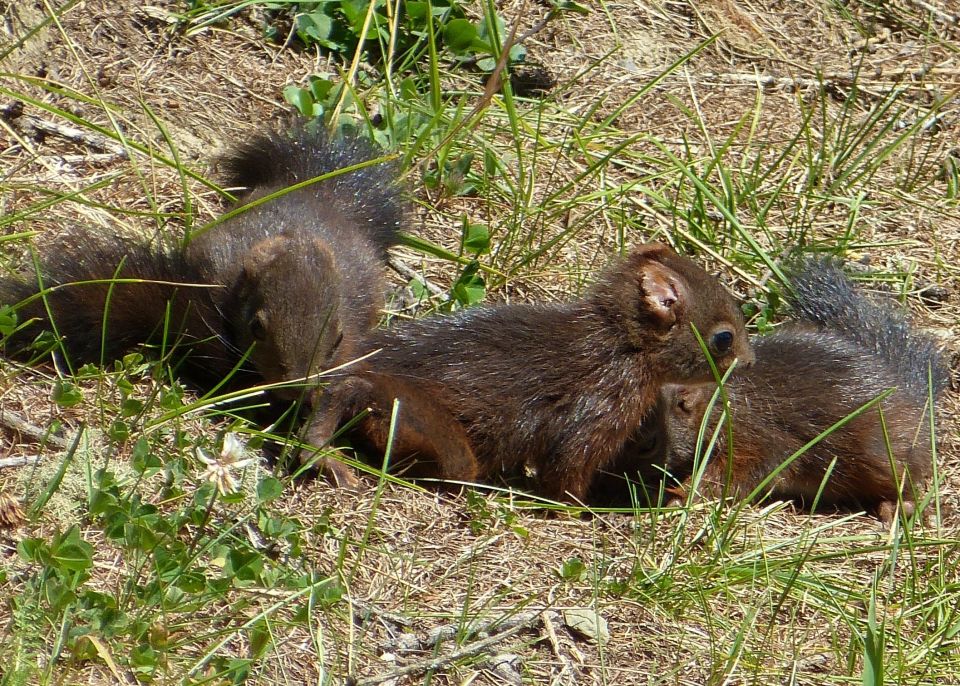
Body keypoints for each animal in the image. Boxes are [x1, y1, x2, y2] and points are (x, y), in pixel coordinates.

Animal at [306, 245, 752, 502]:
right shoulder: (592, 418)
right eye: (723, 338)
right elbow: (565, 477)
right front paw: (580, 513)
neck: (620, 349)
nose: (749, 363)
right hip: (430, 429)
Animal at [628, 258, 948, 520]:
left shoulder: (756, 438)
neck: (717, 403)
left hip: (887, 455)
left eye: (648, 445)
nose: (623, 488)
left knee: (907, 483)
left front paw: (680, 496)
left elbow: (734, 475)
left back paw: (899, 507)